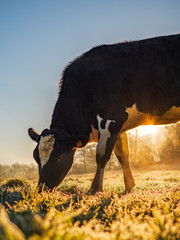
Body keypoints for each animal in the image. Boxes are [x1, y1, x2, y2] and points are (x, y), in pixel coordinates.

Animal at [28, 33, 180, 193]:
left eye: (58, 157)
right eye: (36, 157)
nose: (41, 188)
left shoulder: (112, 118)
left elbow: (101, 155)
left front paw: (95, 189)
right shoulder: (120, 126)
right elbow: (123, 155)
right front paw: (129, 186)